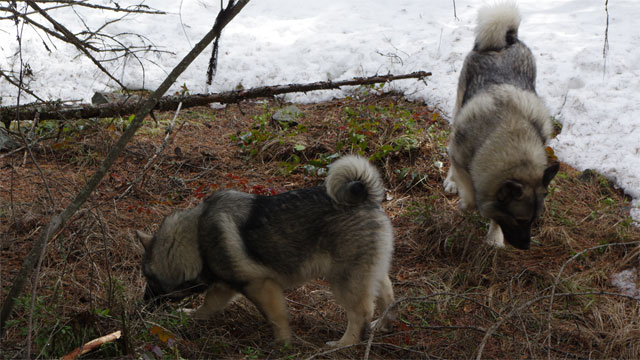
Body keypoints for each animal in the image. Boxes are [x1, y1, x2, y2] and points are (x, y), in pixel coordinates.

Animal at [136, 155, 396, 346]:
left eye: (150, 279)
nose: (143, 306)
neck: (196, 239)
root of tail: (366, 198)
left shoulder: (260, 285)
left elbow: (277, 318)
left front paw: (283, 344)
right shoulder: (226, 286)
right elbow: (209, 305)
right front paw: (192, 315)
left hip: (345, 280)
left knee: (360, 314)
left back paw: (345, 344)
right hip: (371, 273)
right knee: (387, 296)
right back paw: (382, 325)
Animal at [444, 2, 560, 249]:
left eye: (535, 220)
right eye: (520, 220)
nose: (526, 246)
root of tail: (506, 40)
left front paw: (494, 236)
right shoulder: (462, 158)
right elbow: (471, 198)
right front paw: (465, 203)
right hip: (459, 108)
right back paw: (450, 182)